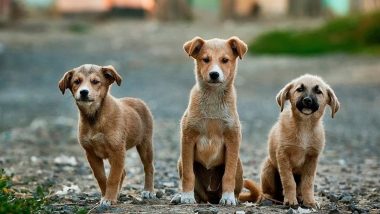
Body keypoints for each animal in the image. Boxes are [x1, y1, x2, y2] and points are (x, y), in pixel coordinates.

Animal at [58, 63, 156, 206]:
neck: (95, 117)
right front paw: (106, 196)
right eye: (77, 81)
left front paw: (109, 198)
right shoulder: (91, 154)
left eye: (95, 81)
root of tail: (137, 100)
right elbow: (102, 177)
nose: (83, 92)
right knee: (123, 172)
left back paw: (148, 191)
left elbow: (113, 178)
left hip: (145, 144)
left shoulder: (117, 151)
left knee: (149, 167)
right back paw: (118, 194)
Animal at [171, 36, 248, 206]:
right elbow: (189, 174)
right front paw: (186, 196)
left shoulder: (233, 138)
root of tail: (210, 197)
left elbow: (228, 174)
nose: (214, 74)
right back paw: (181, 196)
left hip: (239, 164)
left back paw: (232, 197)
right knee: (198, 192)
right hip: (180, 161)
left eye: (225, 60)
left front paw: (228, 197)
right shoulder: (188, 138)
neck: (213, 98)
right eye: (205, 59)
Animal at [239, 74, 340, 208]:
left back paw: (300, 197)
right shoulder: (283, 155)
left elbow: (308, 183)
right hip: (268, 167)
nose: (307, 100)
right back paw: (267, 198)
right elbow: (288, 181)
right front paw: (291, 200)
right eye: (299, 89)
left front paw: (309, 201)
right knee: (268, 191)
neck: (304, 126)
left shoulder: (312, 158)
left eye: (318, 91)